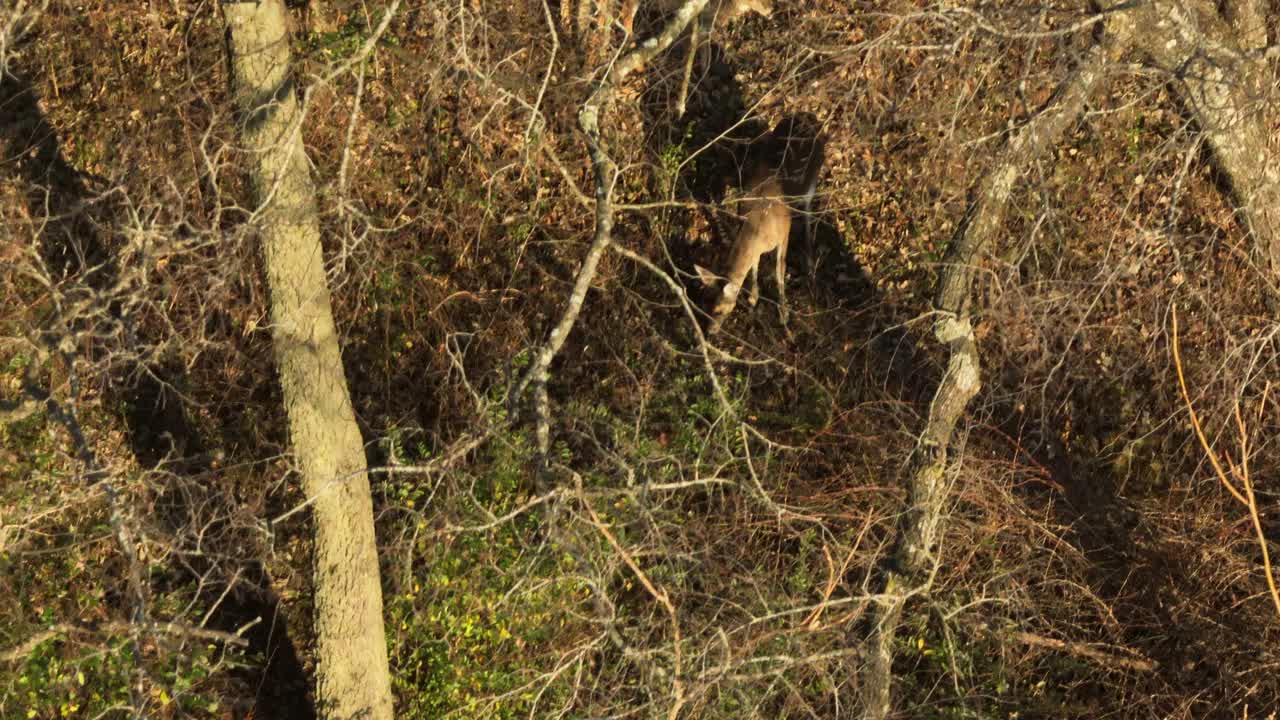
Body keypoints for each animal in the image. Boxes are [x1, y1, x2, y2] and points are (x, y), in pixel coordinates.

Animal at [696, 114, 824, 333]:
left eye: (720, 309)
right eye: (705, 302)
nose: (709, 331)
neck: (759, 227)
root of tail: (809, 116)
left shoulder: (784, 233)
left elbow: (779, 271)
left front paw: (784, 315)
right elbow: (755, 265)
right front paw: (753, 297)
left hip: (814, 176)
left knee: (808, 210)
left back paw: (810, 265)